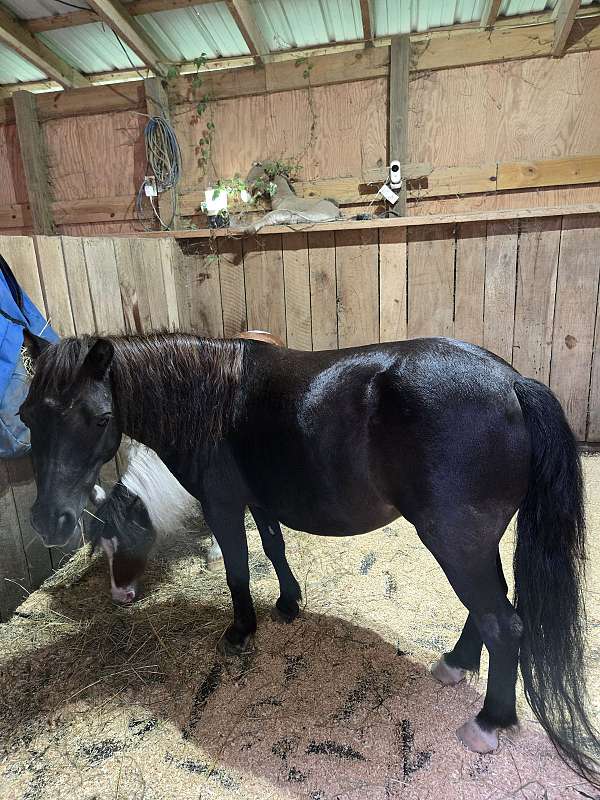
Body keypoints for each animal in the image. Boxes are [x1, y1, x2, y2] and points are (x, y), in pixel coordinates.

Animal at [19, 331, 599, 784]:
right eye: (27, 416)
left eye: (100, 418)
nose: (50, 521)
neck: (209, 401)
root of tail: (513, 384)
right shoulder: (260, 502)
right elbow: (273, 548)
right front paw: (288, 604)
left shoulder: (223, 507)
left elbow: (236, 571)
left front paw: (241, 630)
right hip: (473, 542)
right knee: (489, 612)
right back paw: (456, 664)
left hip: (457, 541)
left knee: (504, 623)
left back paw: (487, 723)